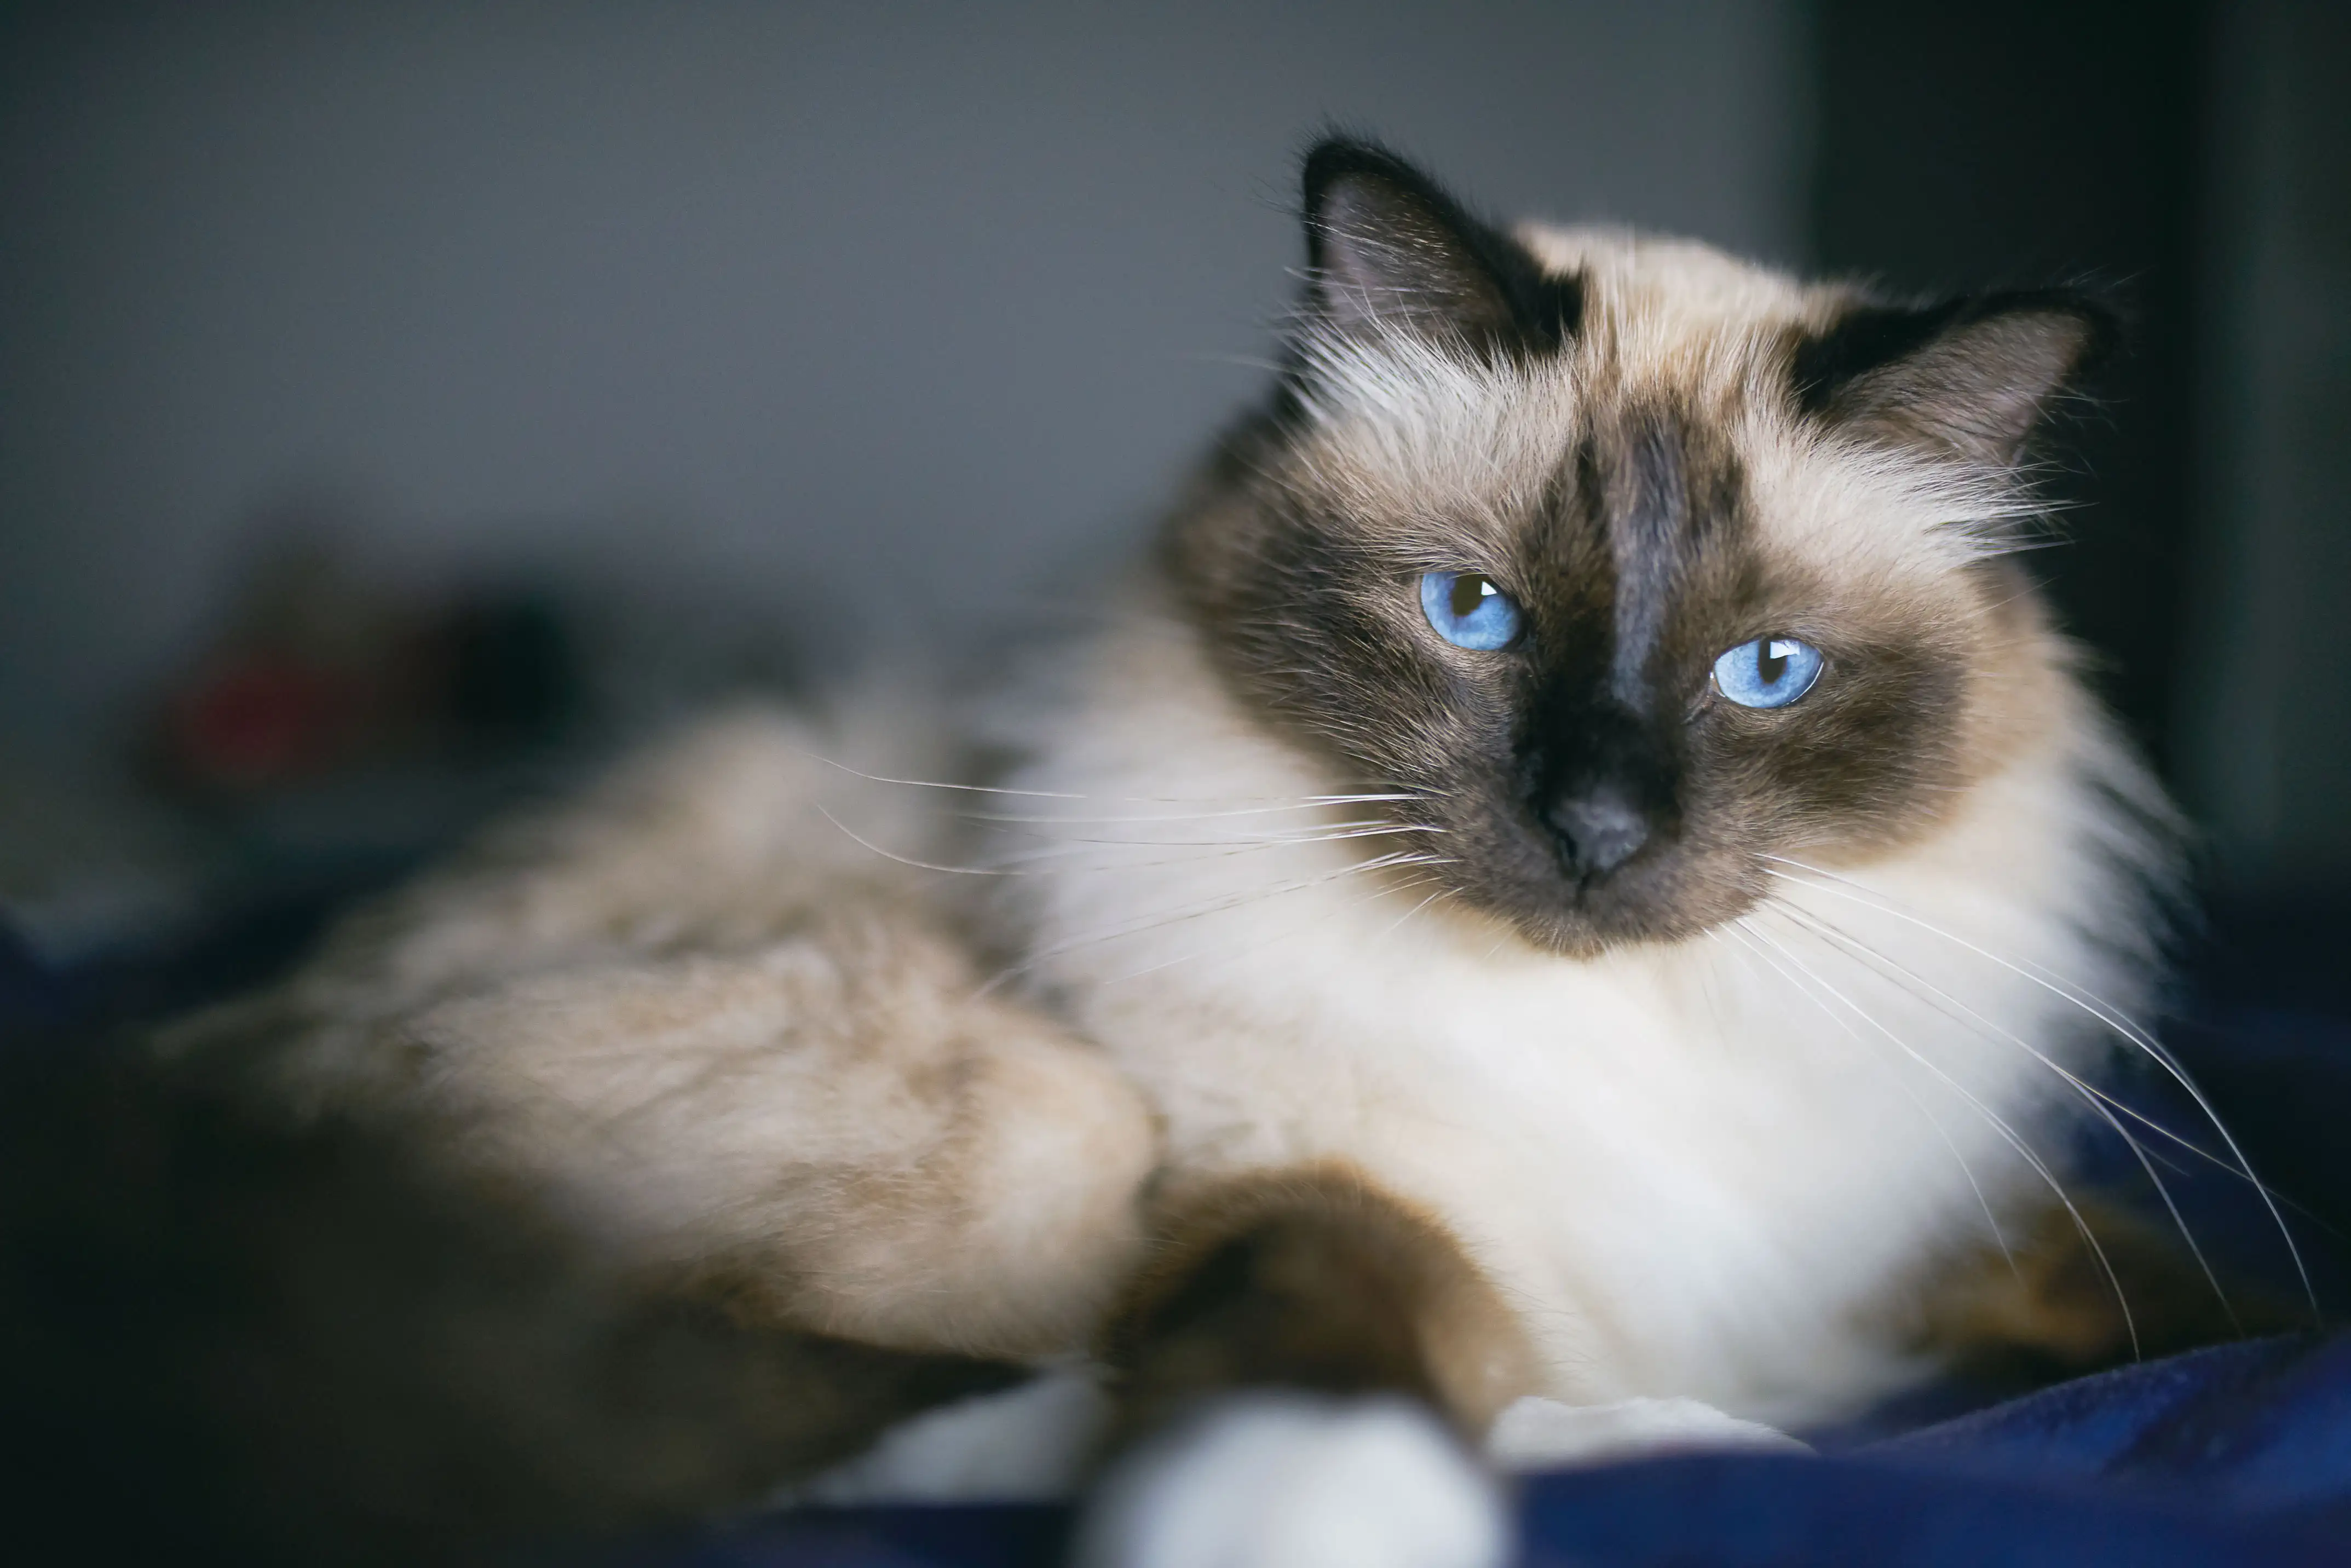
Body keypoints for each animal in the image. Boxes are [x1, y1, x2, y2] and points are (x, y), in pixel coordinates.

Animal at [9, 138, 2266, 1568]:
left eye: (1764, 671)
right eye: (1473, 619)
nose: (1597, 830)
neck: (1611, 1040)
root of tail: (121, 1133)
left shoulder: (1865, 1214)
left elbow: (2201, 1303)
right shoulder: (1283, 1168)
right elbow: (1325, 1335)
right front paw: (1300, 1512)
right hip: (1030, 1114)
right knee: (700, 1415)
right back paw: (1654, 1431)